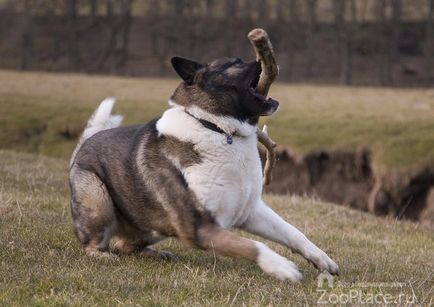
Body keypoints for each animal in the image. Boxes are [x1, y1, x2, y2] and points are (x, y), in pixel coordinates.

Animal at [68, 56, 340, 282]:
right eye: (234, 63)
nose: (268, 61)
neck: (216, 128)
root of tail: (83, 144)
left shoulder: (251, 211)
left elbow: (293, 233)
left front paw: (323, 260)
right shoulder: (199, 227)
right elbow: (252, 245)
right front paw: (283, 267)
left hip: (151, 227)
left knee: (124, 244)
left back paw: (155, 254)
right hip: (98, 199)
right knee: (94, 244)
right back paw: (103, 256)